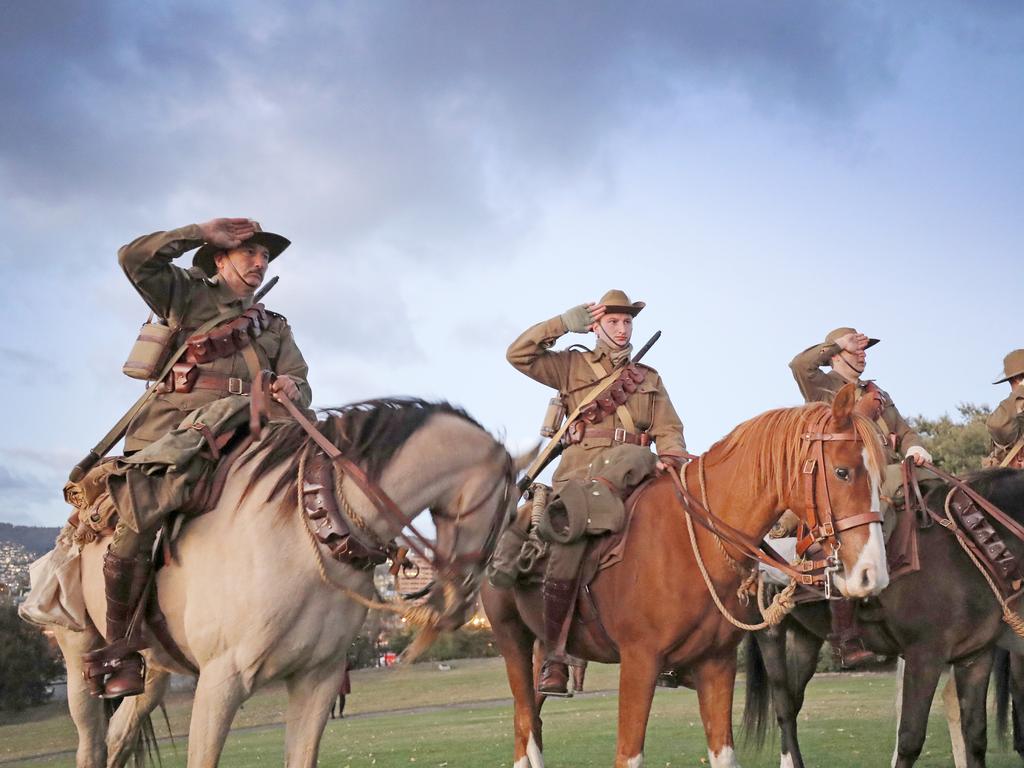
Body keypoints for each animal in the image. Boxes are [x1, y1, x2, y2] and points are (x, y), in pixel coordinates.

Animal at [50, 403, 524, 768]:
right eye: (505, 511)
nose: (462, 605)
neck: (308, 532)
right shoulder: (220, 683)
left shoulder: (319, 680)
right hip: (78, 656)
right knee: (92, 744)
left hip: (155, 671)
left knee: (119, 735)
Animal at [479, 385, 888, 768]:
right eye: (842, 471)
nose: (873, 574)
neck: (693, 543)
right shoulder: (639, 663)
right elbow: (628, 755)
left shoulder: (717, 665)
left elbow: (724, 754)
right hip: (511, 639)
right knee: (524, 723)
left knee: (529, 721)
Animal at [745, 466, 1024, 765]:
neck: (966, 547)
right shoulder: (924, 656)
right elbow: (910, 740)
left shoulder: (975, 658)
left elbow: (975, 736)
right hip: (770, 632)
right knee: (784, 707)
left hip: (805, 638)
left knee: (794, 702)